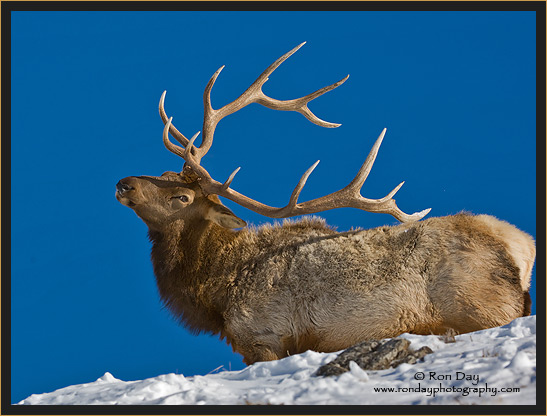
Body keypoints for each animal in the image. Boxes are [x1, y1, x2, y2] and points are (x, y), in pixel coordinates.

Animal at [115, 43, 536, 364]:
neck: (215, 292)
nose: (124, 183)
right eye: (163, 174)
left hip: (483, 306)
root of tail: (522, 246)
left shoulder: (265, 335)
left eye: (182, 196)